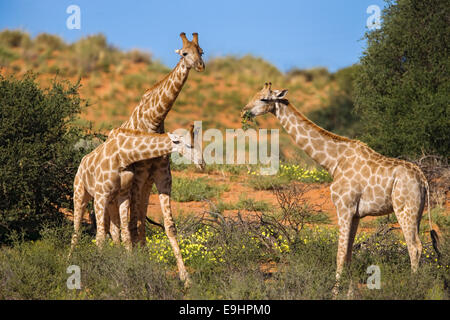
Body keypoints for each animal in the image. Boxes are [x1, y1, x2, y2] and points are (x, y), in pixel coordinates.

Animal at [70, 124, 204, 254]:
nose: (201, 163)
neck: (123, 157)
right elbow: (100, 236)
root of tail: (82, 161)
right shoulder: (101, 194)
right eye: (190, 145)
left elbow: (125, 233)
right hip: (80, 193)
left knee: (114, 230)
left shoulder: (123, 194)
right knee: (77, 231)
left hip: (111, 201)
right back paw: (70, 257)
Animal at [241, 82, 438, 288]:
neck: (333, 161)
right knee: (419, 245)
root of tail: (423, 180)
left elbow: (339, 254)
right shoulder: (356, 214)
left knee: (414, 247)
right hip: (417, 211)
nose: (244, 111)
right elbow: (349, 254)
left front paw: (335, 289)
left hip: (404, 209)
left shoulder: (344, 207)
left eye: (263, 98)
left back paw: (412, 286)